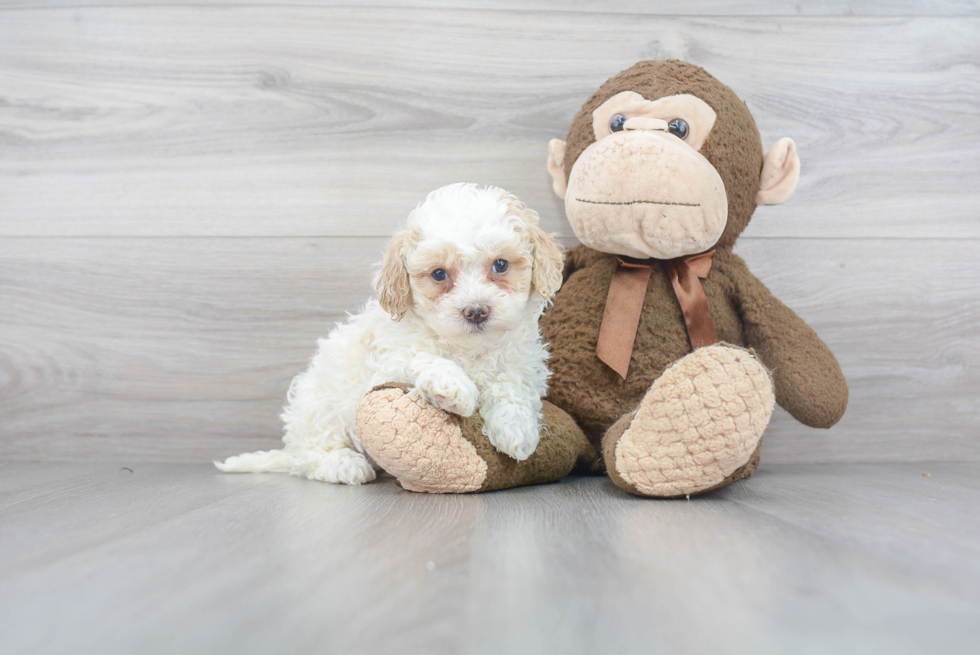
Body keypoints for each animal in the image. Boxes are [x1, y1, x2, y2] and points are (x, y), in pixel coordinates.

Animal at [217, 182, 564, 484]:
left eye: (501, 265)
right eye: (439, 274)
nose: (476, 310)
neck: (467, 348)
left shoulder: (522, 360)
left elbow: (512, 384)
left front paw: (516, 429)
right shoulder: (387, 359)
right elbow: (422, 358)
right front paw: (453, 387)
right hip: (318, 407)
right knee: (311, 455)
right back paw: (343, 464)